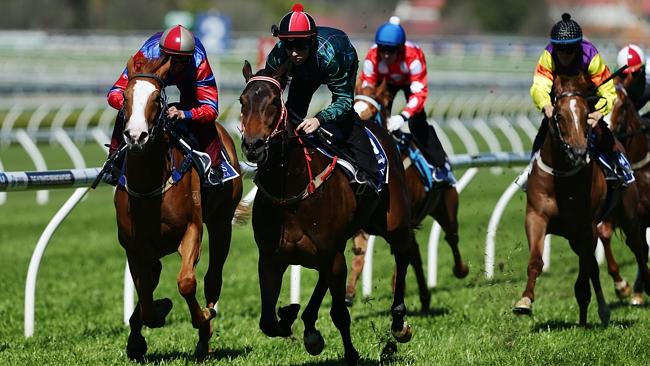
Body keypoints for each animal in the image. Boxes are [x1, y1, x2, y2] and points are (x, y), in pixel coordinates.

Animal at [112, 57, 242, 360]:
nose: (136, 136)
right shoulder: (133, 245)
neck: (150, 184)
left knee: (213, 276)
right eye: (125, 97)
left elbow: (186, 282)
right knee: (153, 275)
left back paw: (205, 335)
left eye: (157, 99)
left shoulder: (191, 229)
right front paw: (143, 331)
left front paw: (203, 320)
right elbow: (145, 294)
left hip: (221, 223)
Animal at [240, 61, 412, 364]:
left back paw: (399, 322)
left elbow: (340, 314)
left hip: (392, 222)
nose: (253, 145)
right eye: (242, 101)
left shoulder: (331, 254)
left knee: (403, 253)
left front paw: (351, 354)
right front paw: (292, 316)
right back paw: (308, 324)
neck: (291, 193)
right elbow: (268, 321)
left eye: (273, 102)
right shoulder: (270, 259)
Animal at [346, 78, 468, 310]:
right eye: (353, 109)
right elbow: (360, 251)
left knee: (451, 237)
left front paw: (395, 285)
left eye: (370, 113)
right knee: (417, 252)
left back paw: (460, 270)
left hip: (446, 206)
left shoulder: (402, 221)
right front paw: (349, 292)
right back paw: (424, 297)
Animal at [512, 72, 648, 326]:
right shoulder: (536, 217)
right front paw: (524, 301)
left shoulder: (586, 228)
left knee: (638, 247)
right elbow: (536, 261)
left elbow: (586, 273)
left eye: (586, 115)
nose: (577, 152)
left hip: (630, 217)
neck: (562, 178)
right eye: (559, 115)